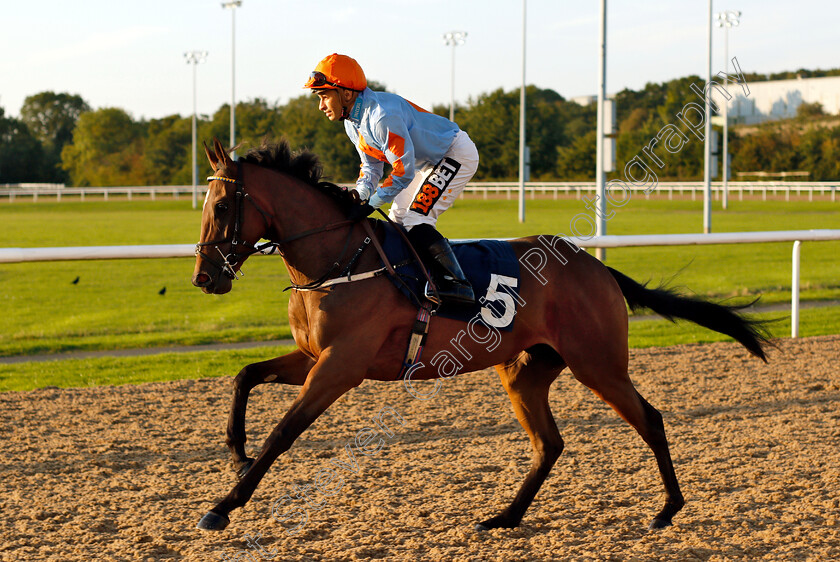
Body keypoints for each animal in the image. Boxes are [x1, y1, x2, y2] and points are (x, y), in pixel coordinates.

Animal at [189, 138, 768, 532]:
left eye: (221, 206)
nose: (204, 278)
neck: (339, 259)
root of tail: (597, 266)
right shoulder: (313, 355)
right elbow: (245, 376)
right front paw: (236, 451)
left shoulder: (340, 366)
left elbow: (283, 432)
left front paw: (222, 507)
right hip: (526, 371)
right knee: (549, 444)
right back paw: (505, 517)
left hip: (598, 363)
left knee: (649, 419)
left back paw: (667, 509)